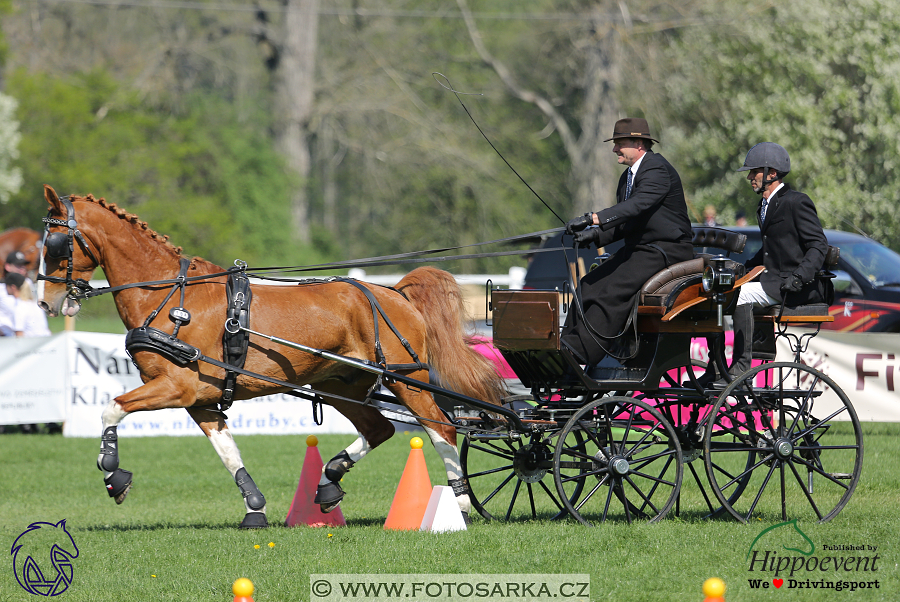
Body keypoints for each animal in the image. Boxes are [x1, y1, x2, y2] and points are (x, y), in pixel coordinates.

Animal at [38, 185, 502, 528]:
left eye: (56, 243)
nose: (46, 301)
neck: (169, 297)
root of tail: (395, 292)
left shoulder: (176, 386)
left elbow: (111, 408)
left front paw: (113, 472)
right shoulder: (201, 400)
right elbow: (228, 453)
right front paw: (255, 508)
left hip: (406, 379)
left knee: (441, 429)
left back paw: (459, 506)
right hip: (339, 384)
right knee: (380, 429)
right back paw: (329, 481)